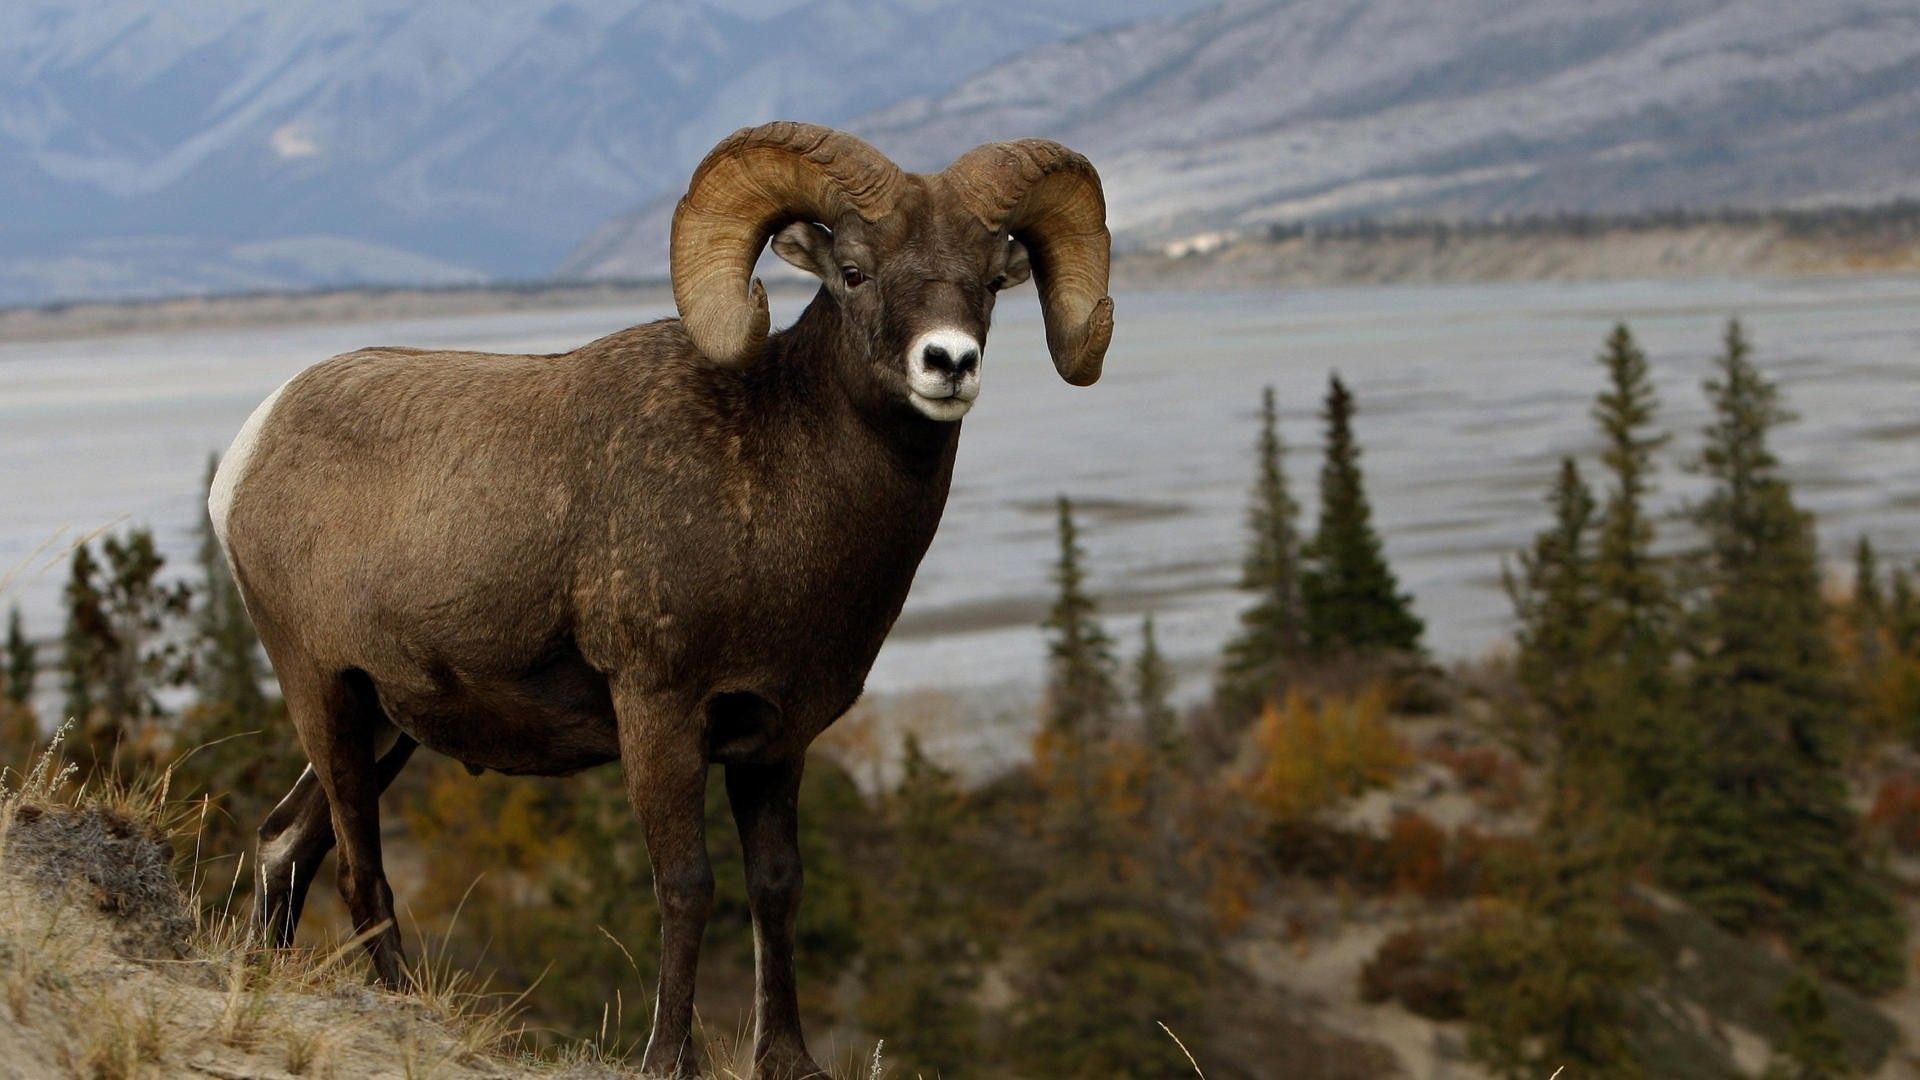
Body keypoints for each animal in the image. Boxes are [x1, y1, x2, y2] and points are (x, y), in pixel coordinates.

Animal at [209, 121, 1112, 1079]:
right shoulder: (658, 712)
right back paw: (408, 1009)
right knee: (357, 870)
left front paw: (788, 1059)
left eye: (988, 280)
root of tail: (249, 452)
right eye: (855, 270)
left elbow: (777, 889)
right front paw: (667, 1057)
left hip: (386, 725)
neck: (773, 481)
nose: (949, 363)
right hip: (324, 692)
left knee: (285, 843)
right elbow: (687, 888)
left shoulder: (775, 741)